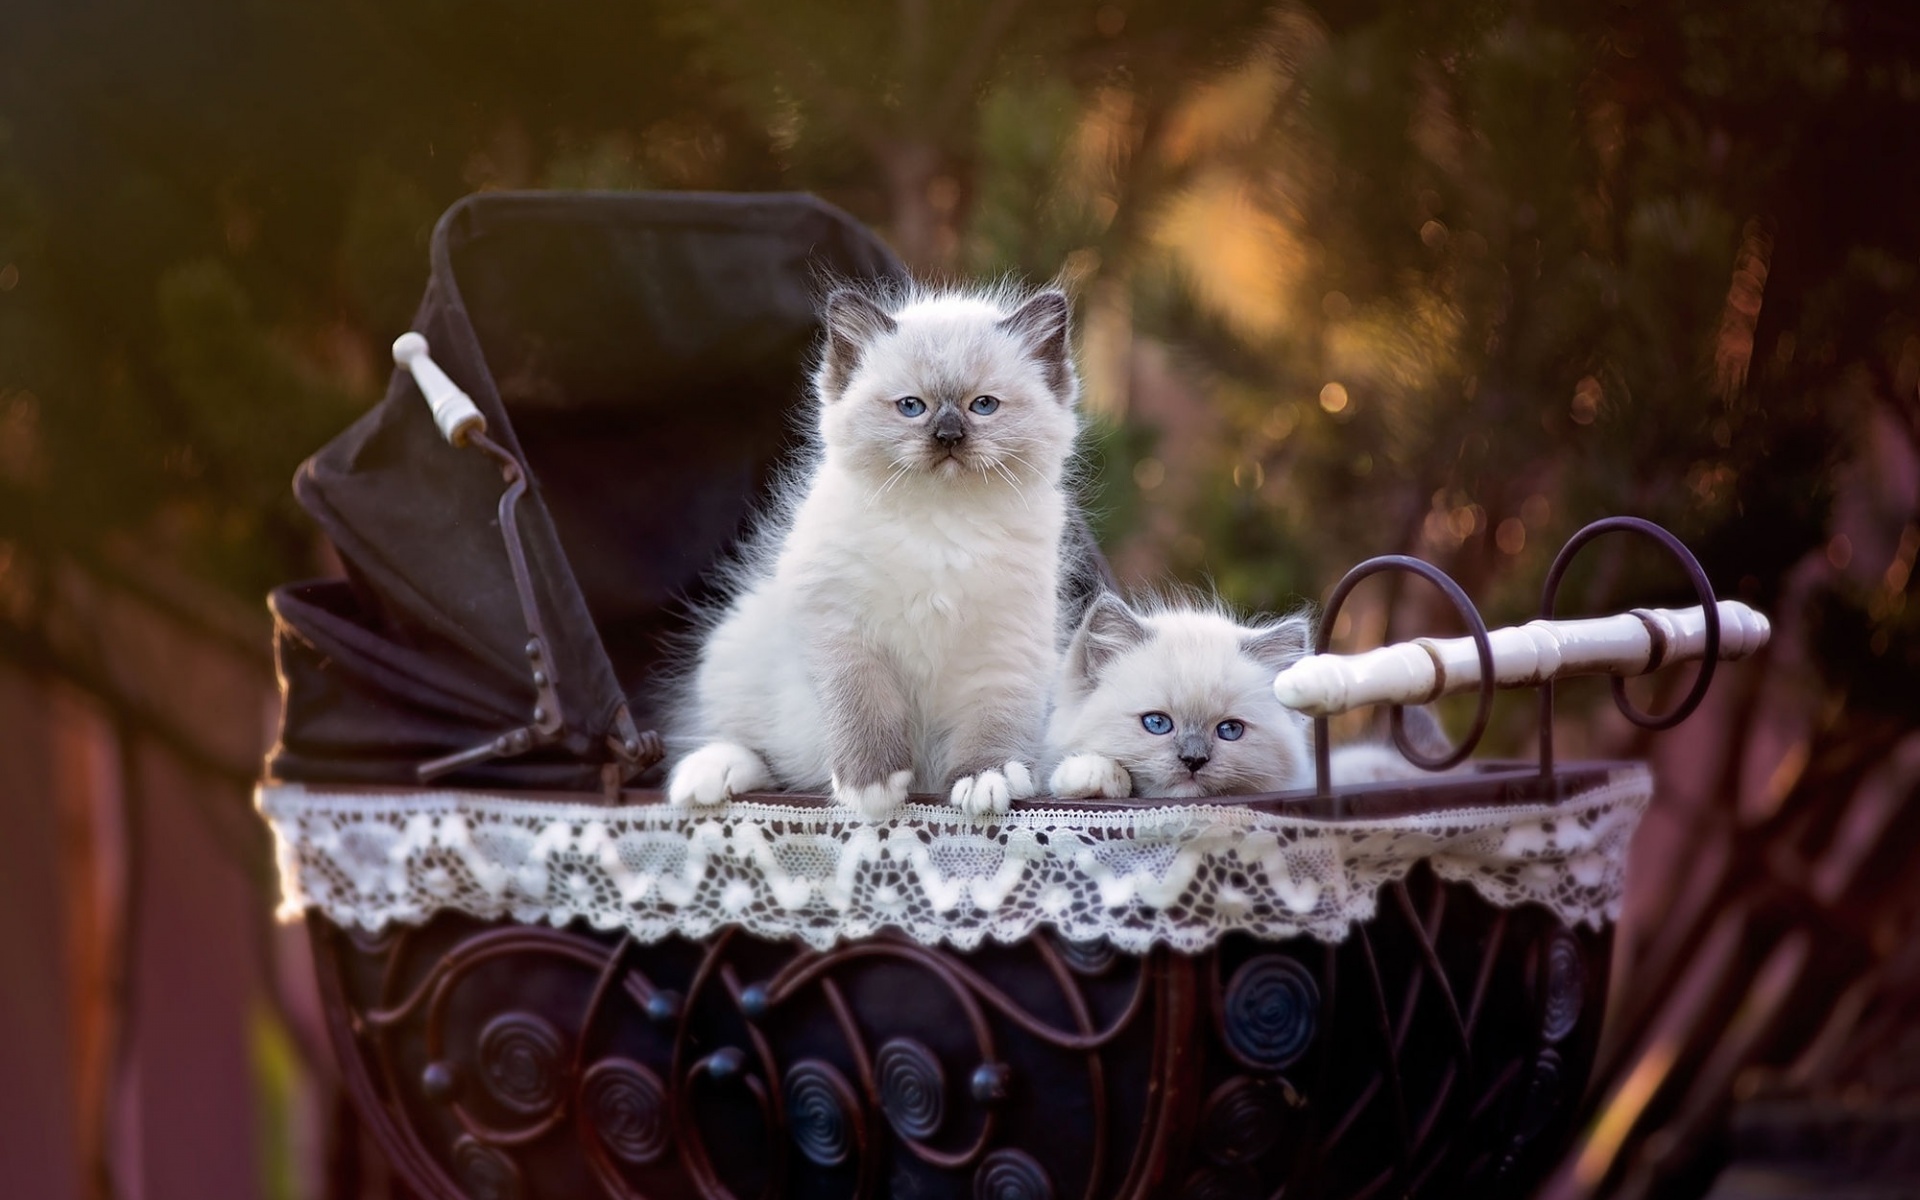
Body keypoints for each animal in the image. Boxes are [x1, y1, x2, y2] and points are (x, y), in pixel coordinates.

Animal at [668, 286, 1082, 817]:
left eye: (983, 405)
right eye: (911, 406)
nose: (948, 436)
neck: (938, 526)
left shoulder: (1005, 642)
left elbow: (992, 721)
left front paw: (985, 779)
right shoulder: (842, 628)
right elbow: (863, 705)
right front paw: (872, 786)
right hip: (736, 651)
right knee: (758, 753)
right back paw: (706, 775)